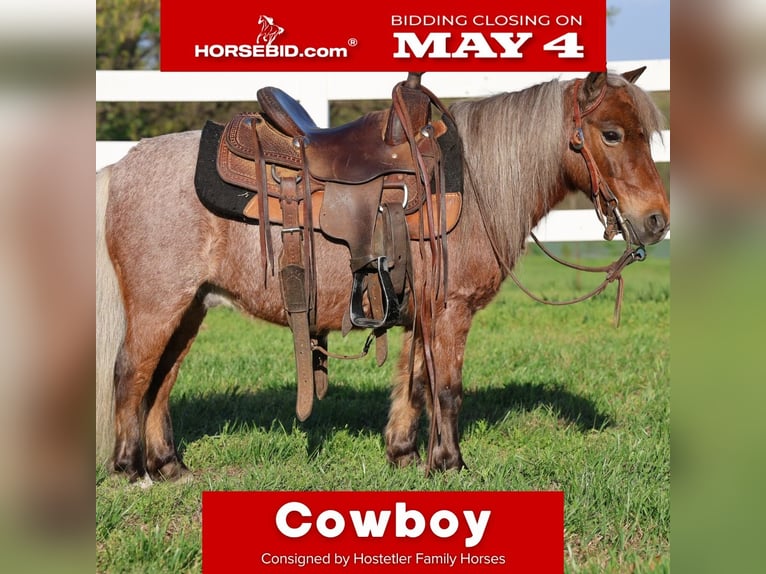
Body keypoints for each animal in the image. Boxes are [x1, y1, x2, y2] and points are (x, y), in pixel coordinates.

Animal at [96, 68, 669, 482]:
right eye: (612, 133)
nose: (657, 220)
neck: (474, 185)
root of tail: (120, 167)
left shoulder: (424, 313)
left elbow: (414, 383)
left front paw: (405, 454)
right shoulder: (451, 311)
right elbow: (447, 388)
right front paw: (452, 464)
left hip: (191, 307)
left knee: (161, 379)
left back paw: (170, 467)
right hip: (159, 303)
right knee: (131, 373)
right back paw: (130, 472)